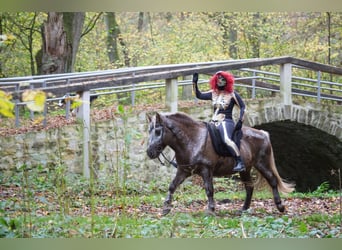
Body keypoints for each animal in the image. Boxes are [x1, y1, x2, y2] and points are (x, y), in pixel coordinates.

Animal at [146, 111, 296, 215]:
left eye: (158, 131)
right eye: (149, 131)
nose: (149, 152)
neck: (193, 140)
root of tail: (263, 133)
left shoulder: (206, 170)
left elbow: (209, 190)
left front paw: (211, 210)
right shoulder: (183, 171)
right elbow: (172, 186)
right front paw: (166, 208)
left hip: (262, 164)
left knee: (272, 181)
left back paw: (280, 206)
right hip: (245, 170)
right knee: (249, 187)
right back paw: (244, 209)